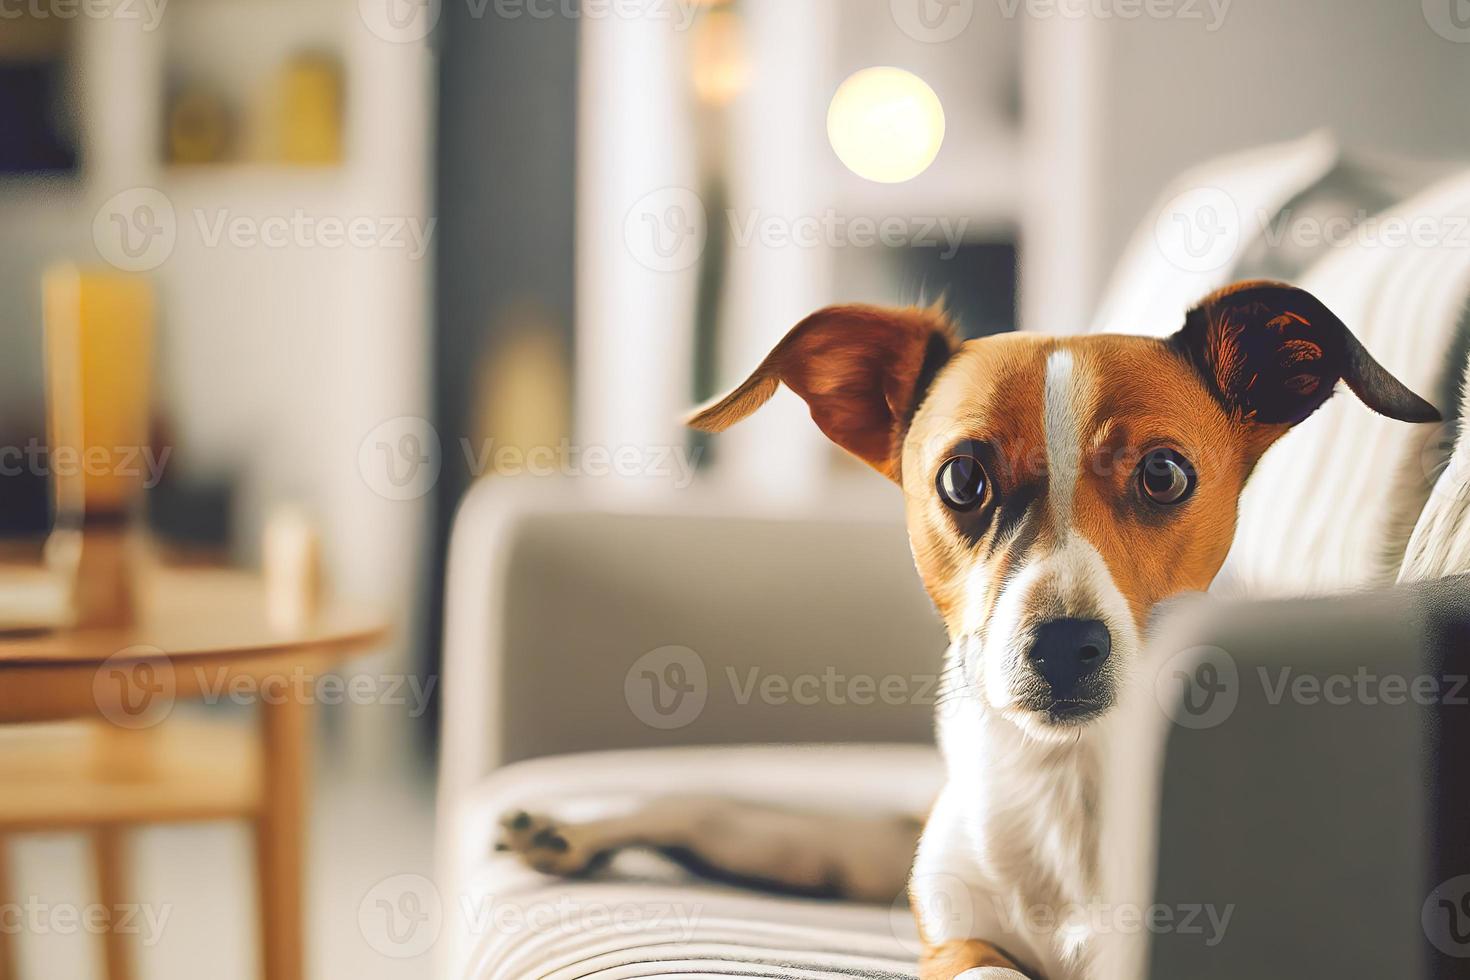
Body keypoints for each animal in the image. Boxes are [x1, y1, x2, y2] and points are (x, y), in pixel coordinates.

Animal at [493, 282, 1434, 980]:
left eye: (1165, 474)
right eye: (963, 478)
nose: (1064, 645)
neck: (1065, 785)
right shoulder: (954, 942)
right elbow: (986, 966)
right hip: (821, 847)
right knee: (701, 804)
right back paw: (568, 830)